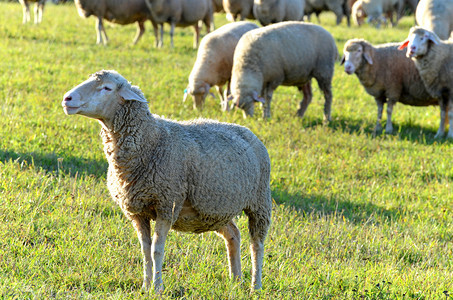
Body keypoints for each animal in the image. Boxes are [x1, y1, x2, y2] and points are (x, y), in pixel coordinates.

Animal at [61, 69, 270, 292]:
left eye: (107, 88)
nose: (67, 98)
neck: (150, 140)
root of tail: (247, 131)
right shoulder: (138, 212)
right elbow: (145, 251)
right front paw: (145, 286)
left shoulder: (166, 205)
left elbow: (156, 250)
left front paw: (158, 287)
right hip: (214, 209)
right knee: (233, 235)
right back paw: (235, 280)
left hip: (260, 203)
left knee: (257, 245)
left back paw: (255, 285)